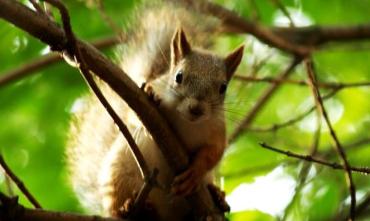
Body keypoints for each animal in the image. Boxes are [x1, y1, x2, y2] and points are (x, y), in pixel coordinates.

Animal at [67, 1, 243, 221]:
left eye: (223, 87)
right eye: (178, 76)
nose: (196, 109)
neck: (187, 122)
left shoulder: (217, 129)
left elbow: (214, 153)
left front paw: (195, 172)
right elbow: (134, 114)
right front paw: (151, 97)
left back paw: (217, 196)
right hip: (119, 174)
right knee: (118, 203)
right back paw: (129, 208)